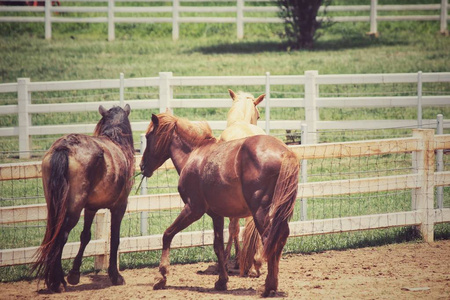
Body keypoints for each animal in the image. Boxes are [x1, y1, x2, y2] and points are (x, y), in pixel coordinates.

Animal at [32, 104, 135, 292]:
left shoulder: (91, 208)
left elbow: (85, 236)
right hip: (73, 210)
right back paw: (57, 282)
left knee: (54, 234)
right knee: (62, 236)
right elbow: (115, 239)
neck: (116, 141)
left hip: (55, 206)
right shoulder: (119, 206)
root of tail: (64, 147)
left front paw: (74, 274)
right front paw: (115, 276)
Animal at [139, 113, 298, 298]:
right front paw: (222, 281)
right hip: (278, 213)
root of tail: (284, 151)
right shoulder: (216, 215)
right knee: (280, 238)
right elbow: (218, 246)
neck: (193, 155)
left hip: (260, 212)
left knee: (269, 240)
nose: (142, 166)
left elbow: (167, 234)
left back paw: (268, 286)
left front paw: (161, 276)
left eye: (148, 136)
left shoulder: (193, 209)